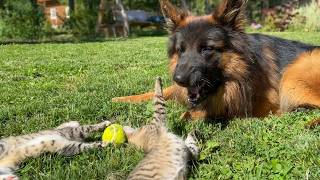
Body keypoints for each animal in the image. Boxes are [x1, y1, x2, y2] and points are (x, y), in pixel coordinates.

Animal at [112, 0, 320, 119]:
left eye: (207, 49)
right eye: (180, 50)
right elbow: (160, 92)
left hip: (293, 77)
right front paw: (122, 98)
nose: (179, 79)